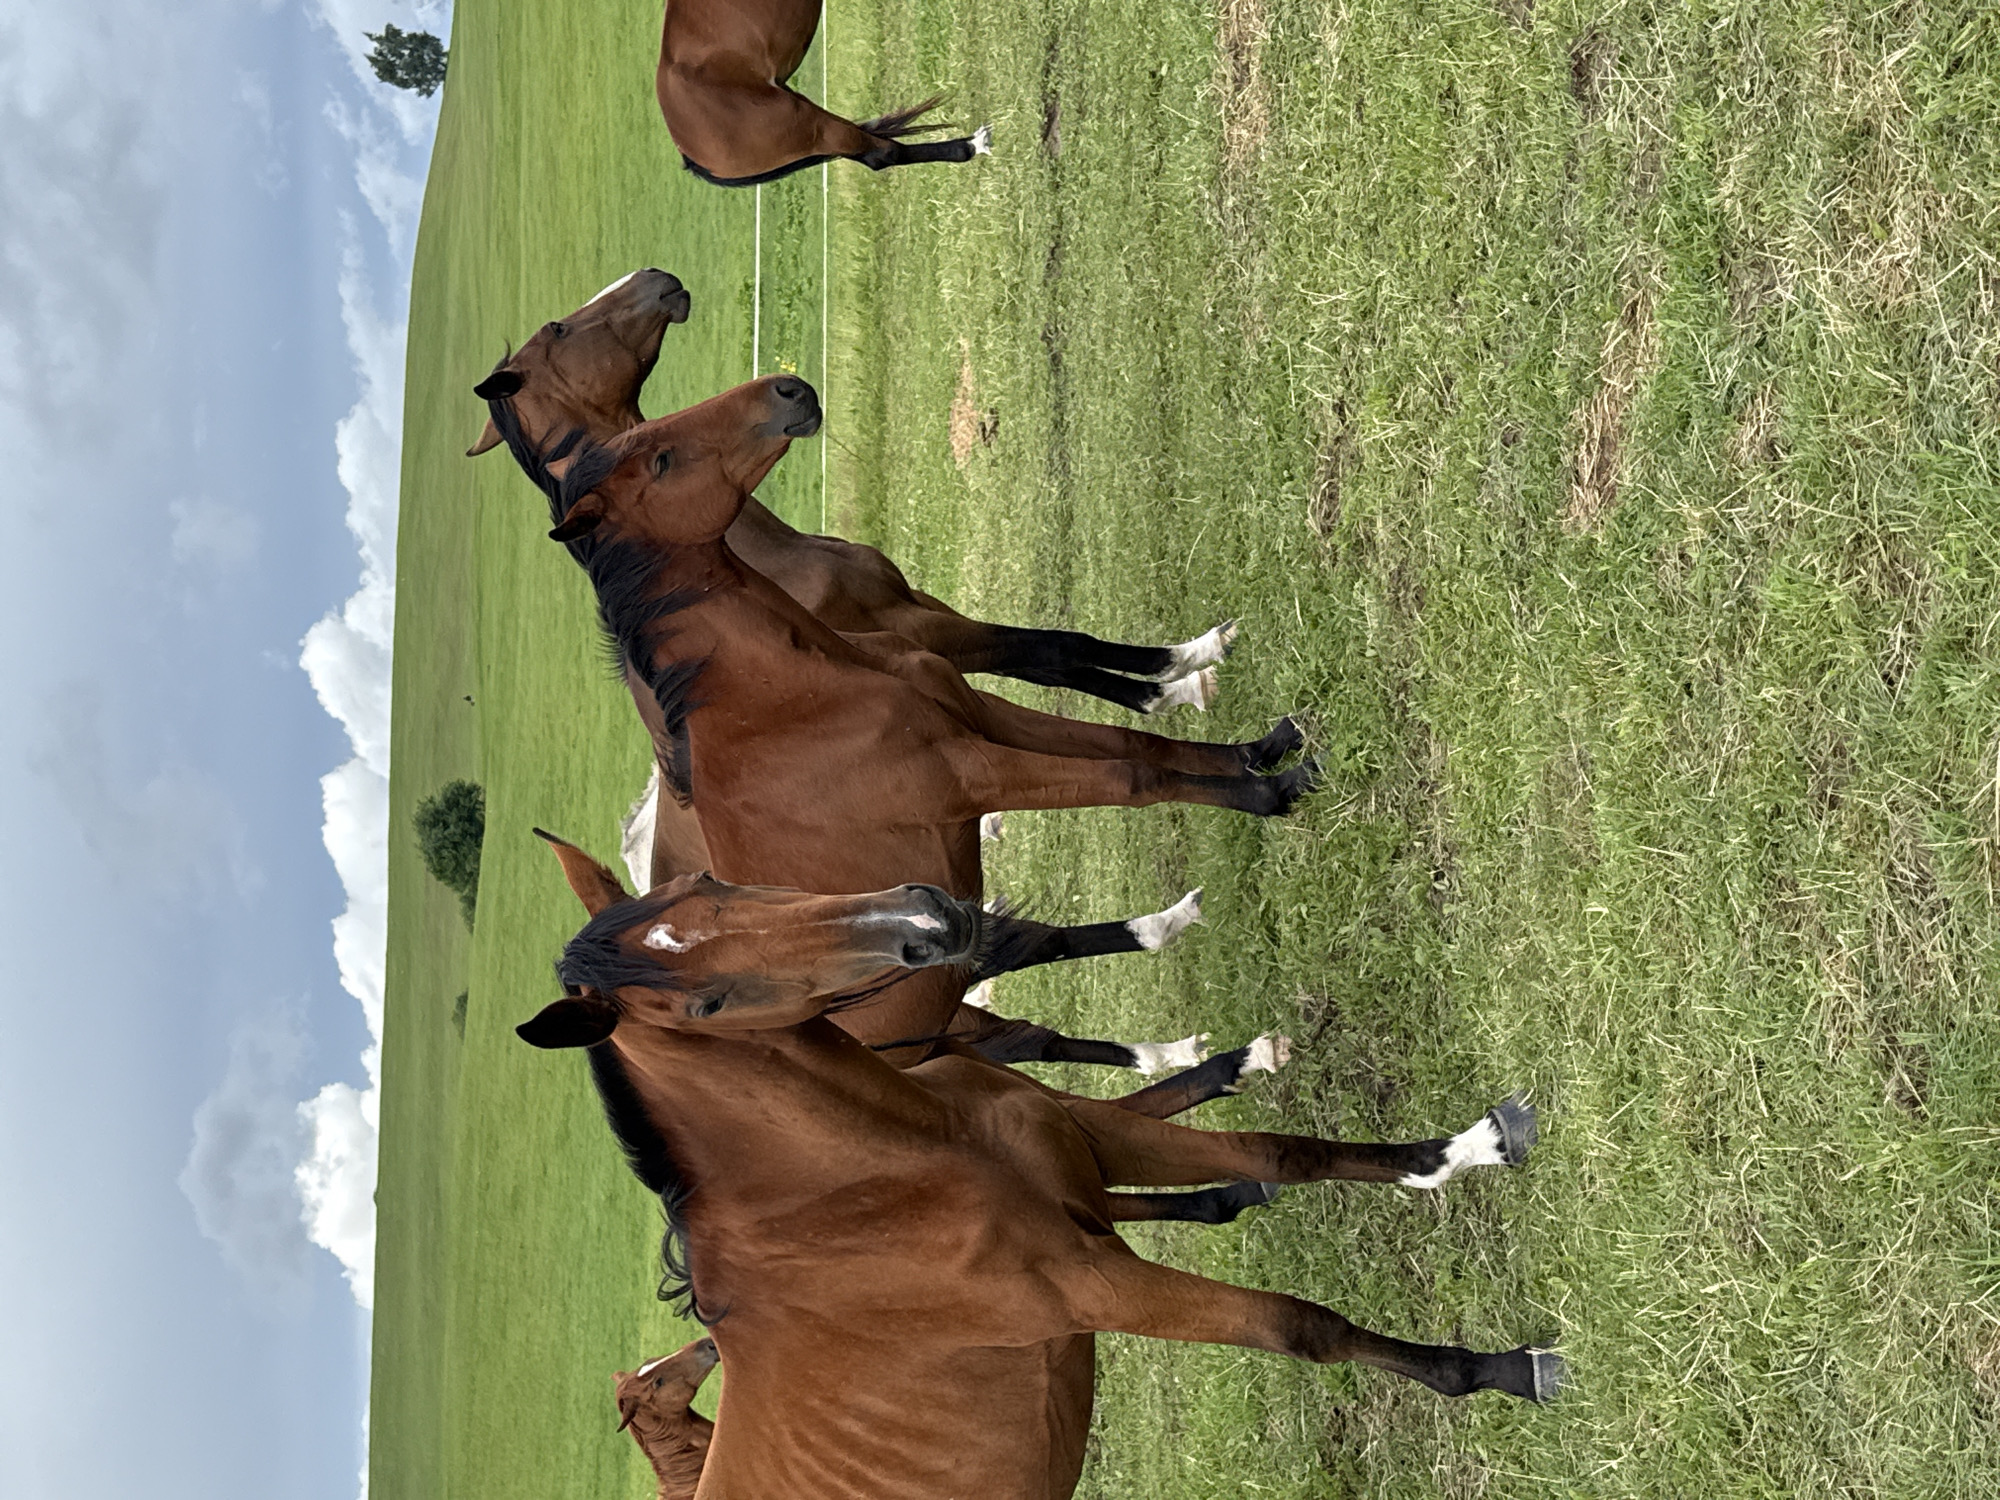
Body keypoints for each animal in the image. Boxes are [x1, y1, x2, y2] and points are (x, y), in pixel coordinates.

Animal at [521, 848, 1561, 1500]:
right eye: (705, 1002)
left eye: (703, 877)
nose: (924, 918)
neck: (879, 1176)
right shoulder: (1099, 1286)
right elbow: (1303, 1328)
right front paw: (1505, 1368)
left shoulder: (1090, 1139)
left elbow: (1283, 1152)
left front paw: (1466, 1150)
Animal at [531, 376, 1316, 1058]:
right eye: (661, 459)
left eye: (652, 435)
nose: (787, 388)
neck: (791, 706)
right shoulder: (976, 772)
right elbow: (1132, 776)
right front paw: (1273, 789)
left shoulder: (983, 715)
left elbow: (1130, 737)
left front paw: (1263, 745)